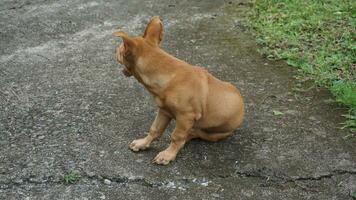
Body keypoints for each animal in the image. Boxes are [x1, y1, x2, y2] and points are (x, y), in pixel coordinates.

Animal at [112, 16, 243, 165]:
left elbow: (176, 136)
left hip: (213, 133)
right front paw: (143, 143)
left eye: (119, 50)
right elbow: (154, 129)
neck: (168, 75)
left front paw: (168, 155)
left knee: (194, 134)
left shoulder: (185, 117)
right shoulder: (164, 111)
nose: (114, 50)